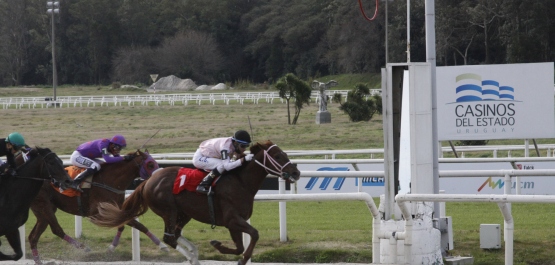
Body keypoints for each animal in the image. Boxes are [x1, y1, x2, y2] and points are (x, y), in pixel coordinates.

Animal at [28, 150, 167, 262]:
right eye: (150, 164)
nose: (159, 176)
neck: (110, 181)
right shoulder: (98, 212)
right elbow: (130, 222)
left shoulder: (116, 210)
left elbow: (134, 225)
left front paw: (162, 245)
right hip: (44, 205)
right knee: (56, 230)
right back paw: (84, 248)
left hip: (44, 209)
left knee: (33, 237)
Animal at [91, 140, 302, 264]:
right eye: (277, 156)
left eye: (284, 153)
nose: (296, 172)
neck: (241, 182)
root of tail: (148, 181)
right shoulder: (232, 219)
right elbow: (254, 235)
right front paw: (228, 251)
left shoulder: (233, 223)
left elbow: (241, 246)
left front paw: (224, 248)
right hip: (169, 210)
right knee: (169, 237)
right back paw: (192, 257)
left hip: (184, 213)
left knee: (175, 235)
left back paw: (193, 255)